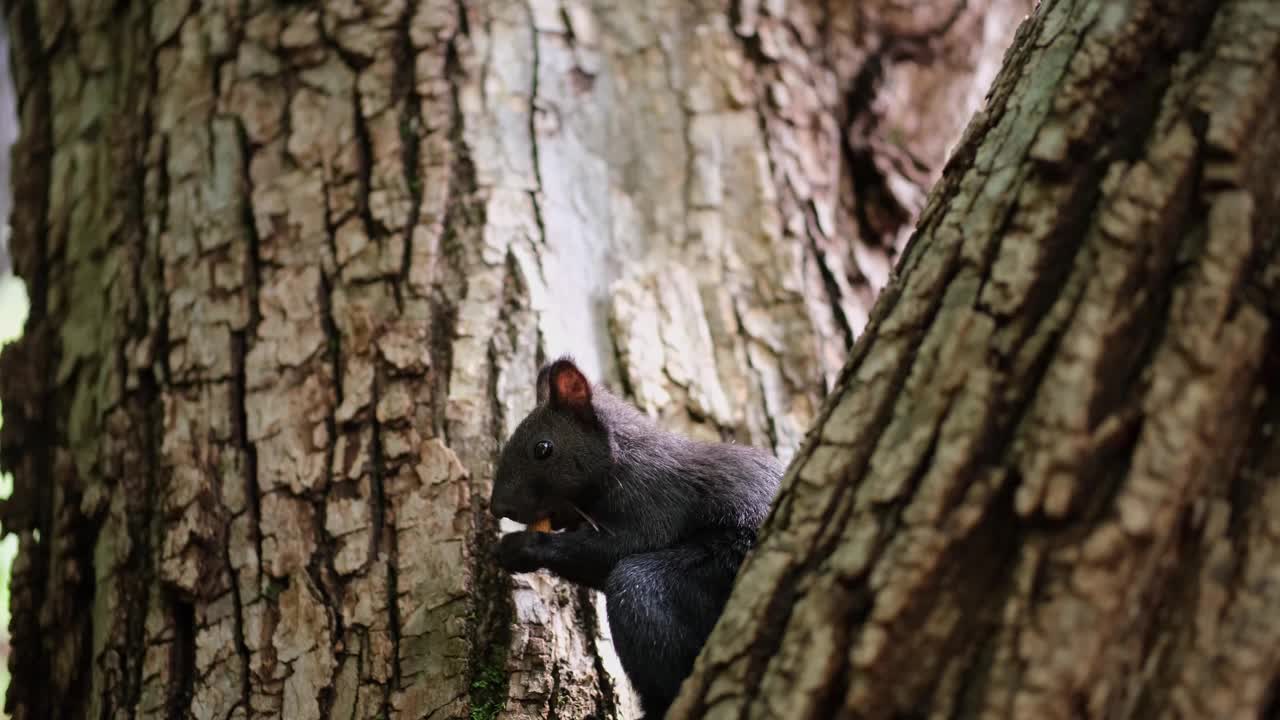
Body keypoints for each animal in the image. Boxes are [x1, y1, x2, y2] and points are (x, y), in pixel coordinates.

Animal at [486, 356, 778, 712]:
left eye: (543, 448)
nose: (498, 507)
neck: (621, 459)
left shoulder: (653, 501)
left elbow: (614, 551)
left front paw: (520, 547)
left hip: (701, 572)